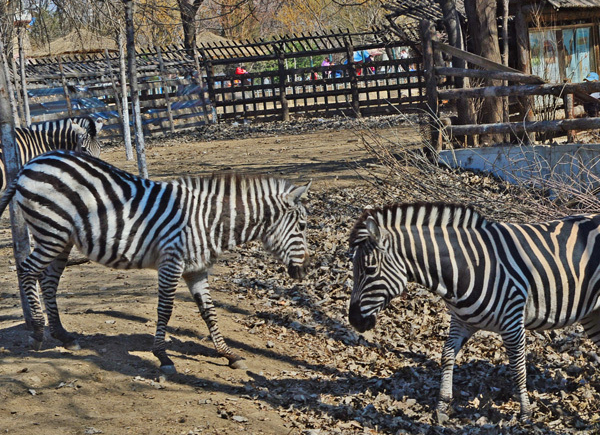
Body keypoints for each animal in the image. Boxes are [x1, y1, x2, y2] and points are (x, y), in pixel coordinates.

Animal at [0, 150, 310, 374]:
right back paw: (37, 332)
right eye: (304, 227)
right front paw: (162, 356)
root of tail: (31, 163)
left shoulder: (196, 269)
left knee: (48, 281)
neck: (208, 221)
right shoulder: (171, 263)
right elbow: (165, 310)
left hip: (61, 239)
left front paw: (228, 354)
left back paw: (63, 336)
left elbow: (209, 312)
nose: (304, 271)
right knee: (27, 271)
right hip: (51, 231)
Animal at [346, 204, 600, 422]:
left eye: (369, 269)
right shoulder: (461, 321)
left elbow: (518, 367)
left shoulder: (513, 323)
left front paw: (526, 413)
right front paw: (442, 405)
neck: (467, 266)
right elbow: (447, 355)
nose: (354, 320)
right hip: (592, 313)